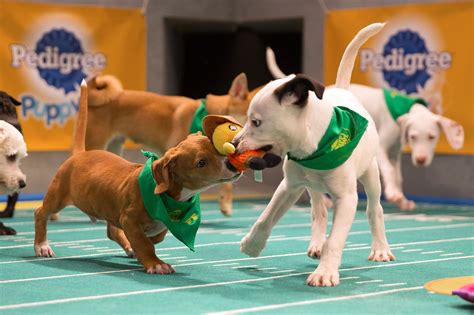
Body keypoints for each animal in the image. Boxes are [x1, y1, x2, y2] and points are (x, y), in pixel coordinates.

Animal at [34, 81, 241, 274]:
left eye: (216, 148)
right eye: (201, 162)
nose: (232, 165)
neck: (173, 199)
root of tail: (80, 154)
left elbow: (155, 236)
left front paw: (144, 246)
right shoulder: (129, 219)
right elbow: (144, 243)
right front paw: (155, 263)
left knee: (112, 231)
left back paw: (128, 247)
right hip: (58, 195)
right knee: (41, 212)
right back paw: (42, 246)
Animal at [235, 22, 394, 288]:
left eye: (256, 122)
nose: (234, 144)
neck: (314, 147)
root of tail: (342, 90)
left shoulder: (346, 199)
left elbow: (336, 239)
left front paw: (325, 272)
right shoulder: (289, 187)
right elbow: (265, 218)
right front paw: (252, 244)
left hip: (371, 175)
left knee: (375, 210)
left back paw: (380, 248)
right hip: (312, 187)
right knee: (319, 212)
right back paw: (317, 242)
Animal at [268, 47, 464, 212]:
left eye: (432, 137)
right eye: (414, 137)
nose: (421, 160)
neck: (405, 107)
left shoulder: (395, 151)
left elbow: (397, 175)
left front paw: (402, 199)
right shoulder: (382, 147)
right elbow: (389, 170)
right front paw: (393, 193)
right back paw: (324, 201)